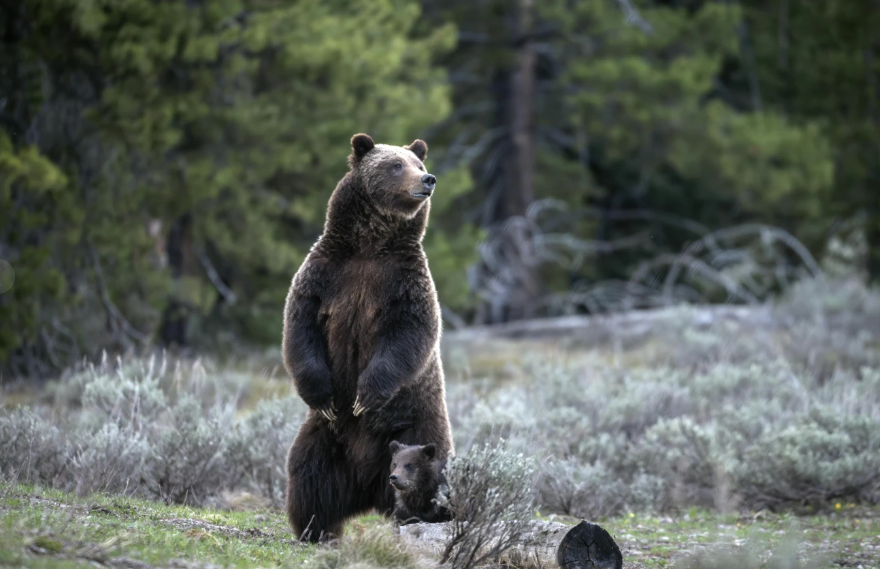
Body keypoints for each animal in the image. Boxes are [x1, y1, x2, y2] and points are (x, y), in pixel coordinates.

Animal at [283, 133, 454, 542]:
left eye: (419, 164)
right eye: (396, 165)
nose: (428, 180)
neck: (370, 245)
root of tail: (368, 486)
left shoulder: (404, 283)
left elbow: (409, 335)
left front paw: (366, 396)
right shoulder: (326, 275)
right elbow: (301, 328)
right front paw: (324, 395)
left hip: (418, 427)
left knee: (430, 474)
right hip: (327, 439)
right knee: (308, 475)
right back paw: (315, 529)